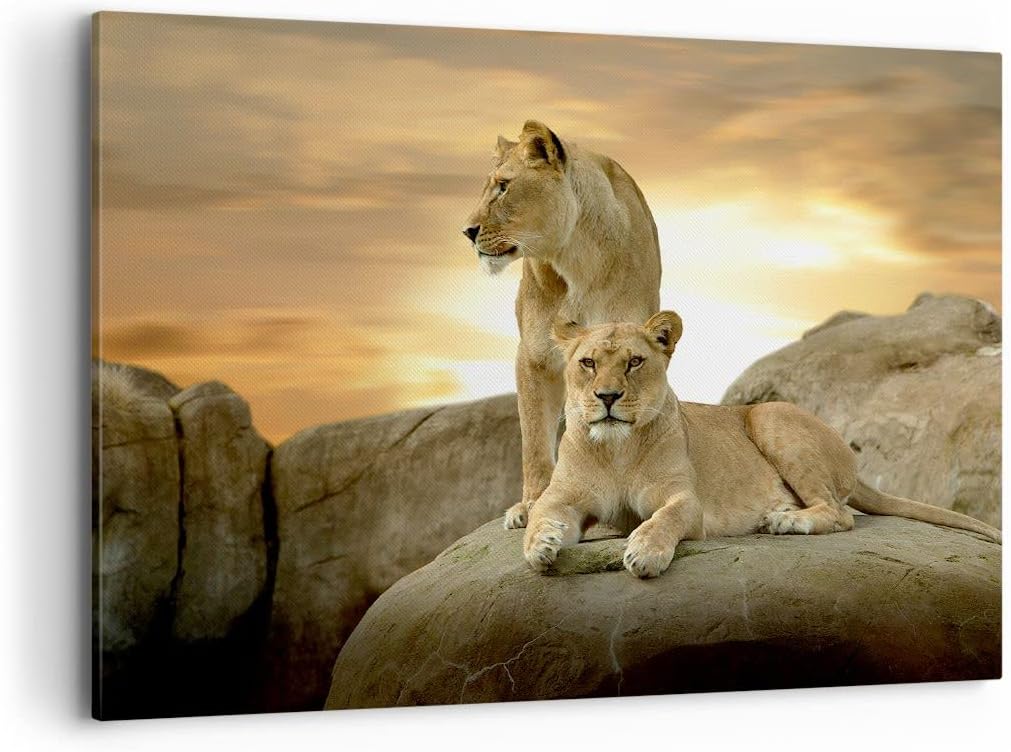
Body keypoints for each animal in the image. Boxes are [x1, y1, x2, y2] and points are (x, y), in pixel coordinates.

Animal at [463, 121, 661, 529]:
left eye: (504, 186)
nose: (467, 231)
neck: (575, 256)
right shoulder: (535, 356)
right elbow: (535, 435)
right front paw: (532, 504)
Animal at [523, 312, 1002, 578]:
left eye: (635, 362)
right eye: (588, 363)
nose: (607, 397)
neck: (615, 449)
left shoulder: (686, 501)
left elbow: (663, 520)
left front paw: (644, 553)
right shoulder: (564, 497)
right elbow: (541, 514)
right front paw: (539, 546)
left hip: (771, 417)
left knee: (840, 513)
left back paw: (784, 520)